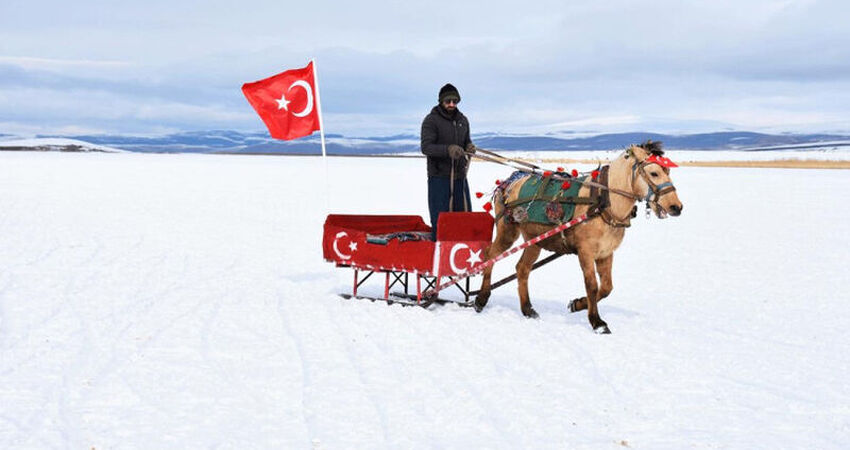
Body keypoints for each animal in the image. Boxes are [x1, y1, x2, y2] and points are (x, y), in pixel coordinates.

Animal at [474, 142, 684, 334]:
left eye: (668, 171)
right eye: (654, 173)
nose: (676, 207)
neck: (603, 203)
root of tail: (508, 182)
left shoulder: (605, 253)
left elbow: (606, 287)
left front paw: (577, 304)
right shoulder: (586, 252)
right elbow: (592, 285)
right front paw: (597, 322)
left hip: (535, 240)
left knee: (522, 269)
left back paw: (528, 309)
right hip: (508, 231)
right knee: (490, 255)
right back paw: (481, 298)